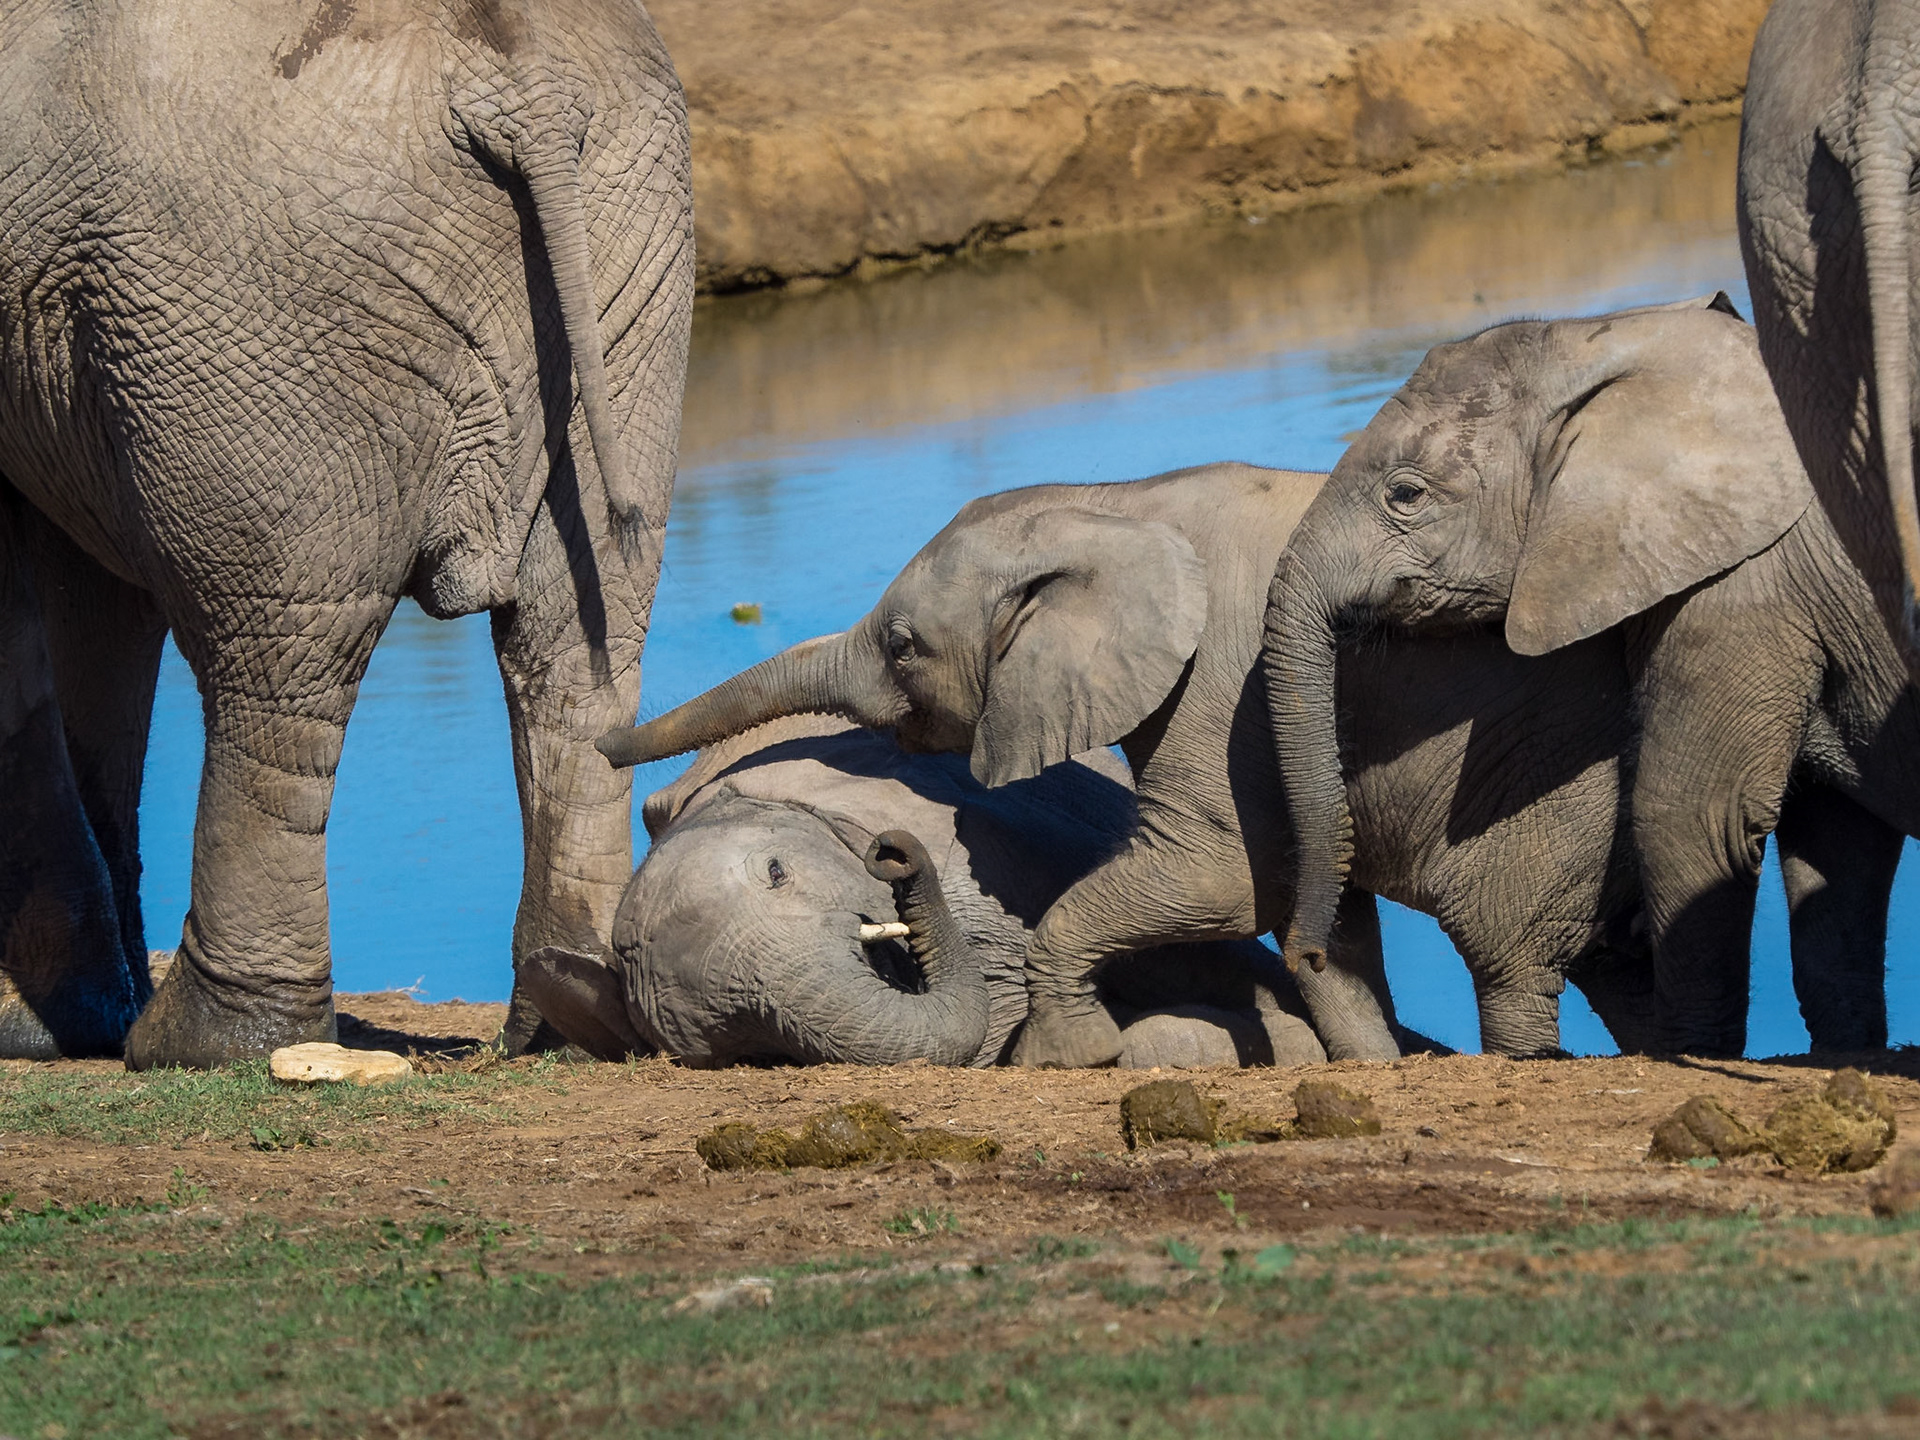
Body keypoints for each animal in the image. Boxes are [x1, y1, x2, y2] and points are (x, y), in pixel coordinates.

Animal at [0, 0, 692, 1065]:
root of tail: (524, 92)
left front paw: (37, 1031)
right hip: (633, 246)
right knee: (582, 640)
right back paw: (566, 1024)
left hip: (252, 304)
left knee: (276, 654)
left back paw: (208, 1045)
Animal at [1266, 295, 1916, 1059]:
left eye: (1405, 494)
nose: (1307, 956)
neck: (1620, 340)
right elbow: (1835, 836)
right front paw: (1847, 1054)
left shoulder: (1747, 585)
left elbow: (1696, 812)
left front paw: (1688, 1053)